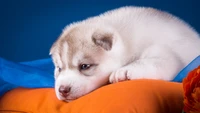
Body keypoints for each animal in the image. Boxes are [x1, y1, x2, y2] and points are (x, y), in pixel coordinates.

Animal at [49, 6, 200, 101]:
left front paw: (124, 71)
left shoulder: (166, 55)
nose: (62, 90)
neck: (127, 40)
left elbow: (154, 61)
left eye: (85, 66)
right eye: (59, 68)